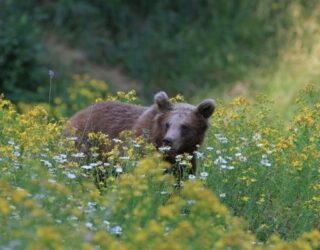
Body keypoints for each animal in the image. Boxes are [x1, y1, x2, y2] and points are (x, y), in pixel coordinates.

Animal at [67, 91, 215, 175]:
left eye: (185, 126)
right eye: (167, 124)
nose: (168, 140)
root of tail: (77, 114)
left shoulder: (186, 161)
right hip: (85, 144)